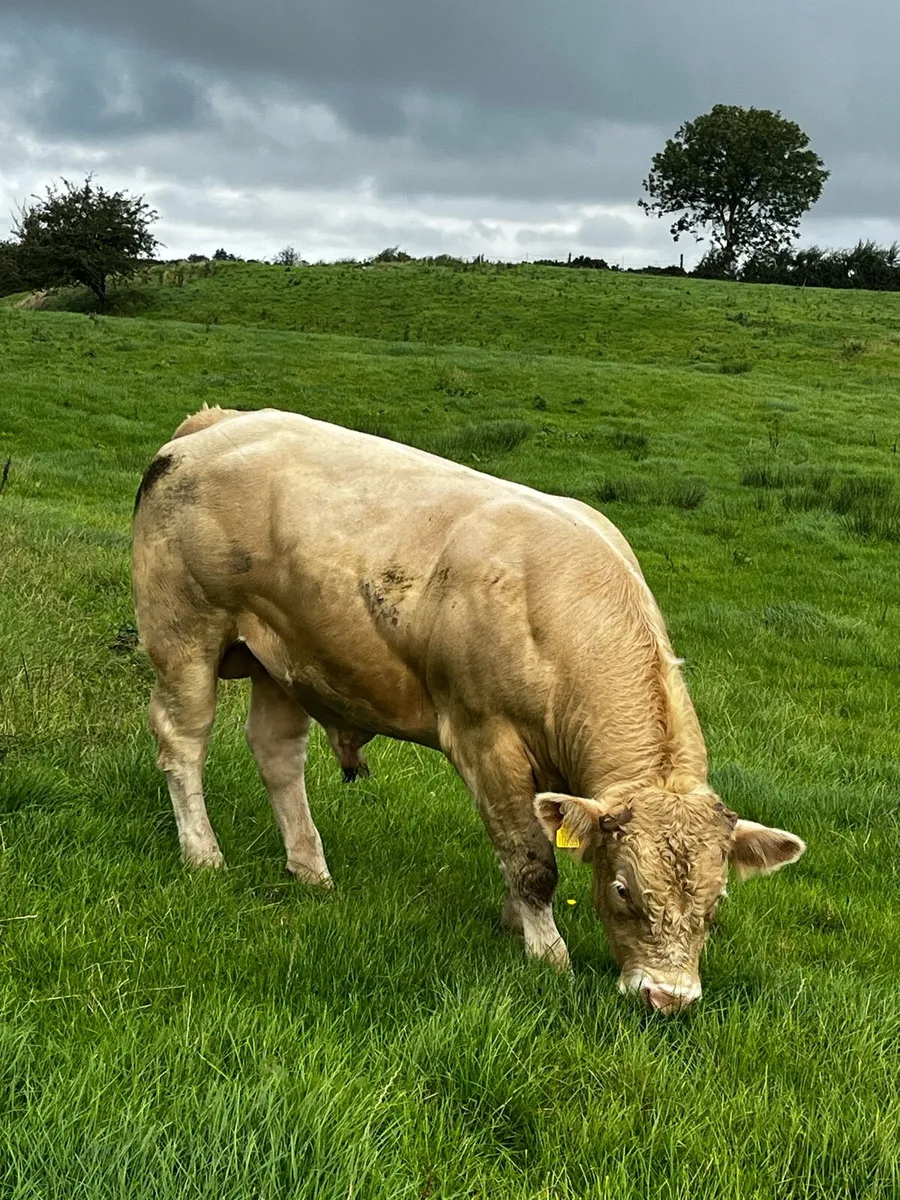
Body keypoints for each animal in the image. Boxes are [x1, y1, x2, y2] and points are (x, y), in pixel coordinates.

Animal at [132, 406, 805, 1012]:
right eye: (622, 890)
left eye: (716, 904)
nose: (668, 998)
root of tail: (214, 422)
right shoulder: (486, 737)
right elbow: (530, 859)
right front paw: (546, 954)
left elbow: (529, 836)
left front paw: (515, 923)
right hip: (183, 631)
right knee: (182, 740)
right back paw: (203, 854)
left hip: (283, 659)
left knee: (276, 753)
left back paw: (310, 868)